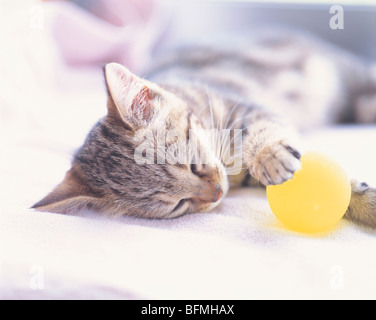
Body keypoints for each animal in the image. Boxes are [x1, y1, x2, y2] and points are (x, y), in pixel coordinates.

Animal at [31, 31, 376, 228]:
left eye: (194, 166)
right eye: (177, 205)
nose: (217, 193)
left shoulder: (244, 107)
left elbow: (265, 131)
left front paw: (269, 156)